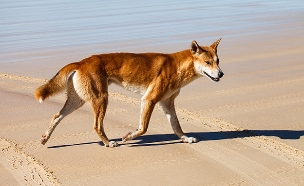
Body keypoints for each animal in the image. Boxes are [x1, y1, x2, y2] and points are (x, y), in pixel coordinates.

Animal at [35, 38, 223, 147]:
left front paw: (185, 139)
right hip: (101, 98)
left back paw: (45, 138)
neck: (177, 67)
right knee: (97, 125)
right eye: (207, 62)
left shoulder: (167, 103)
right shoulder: (149, 99)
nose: (221, 74)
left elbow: (176, 126)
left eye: (218, 61)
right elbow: (143, 128)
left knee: (57, 116)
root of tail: (80, 62)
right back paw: (109, 143)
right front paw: (127, 137)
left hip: (78, 100)